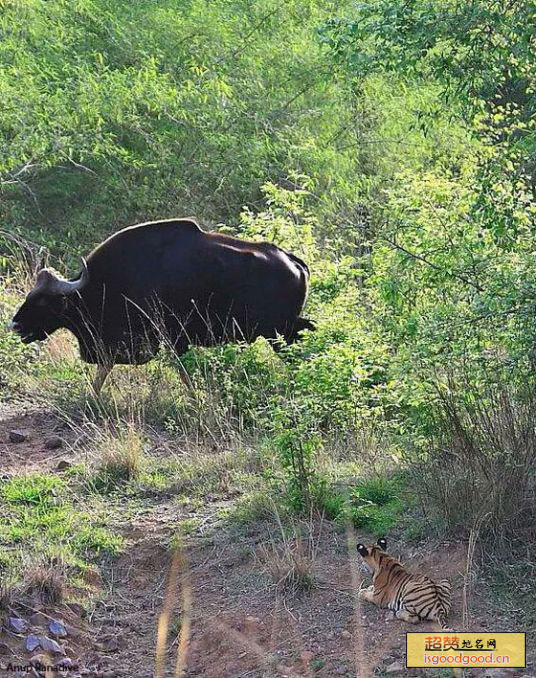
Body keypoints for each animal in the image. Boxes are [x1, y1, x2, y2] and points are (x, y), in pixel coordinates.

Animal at [9, 218, 314, 394]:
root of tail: (292, 261)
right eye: (30, 295)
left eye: (44, 300)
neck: (102, 286)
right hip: (285, 329)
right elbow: (103, 371)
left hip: (278, 331)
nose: (15, 324)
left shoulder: (171, 339)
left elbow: (183, 374)